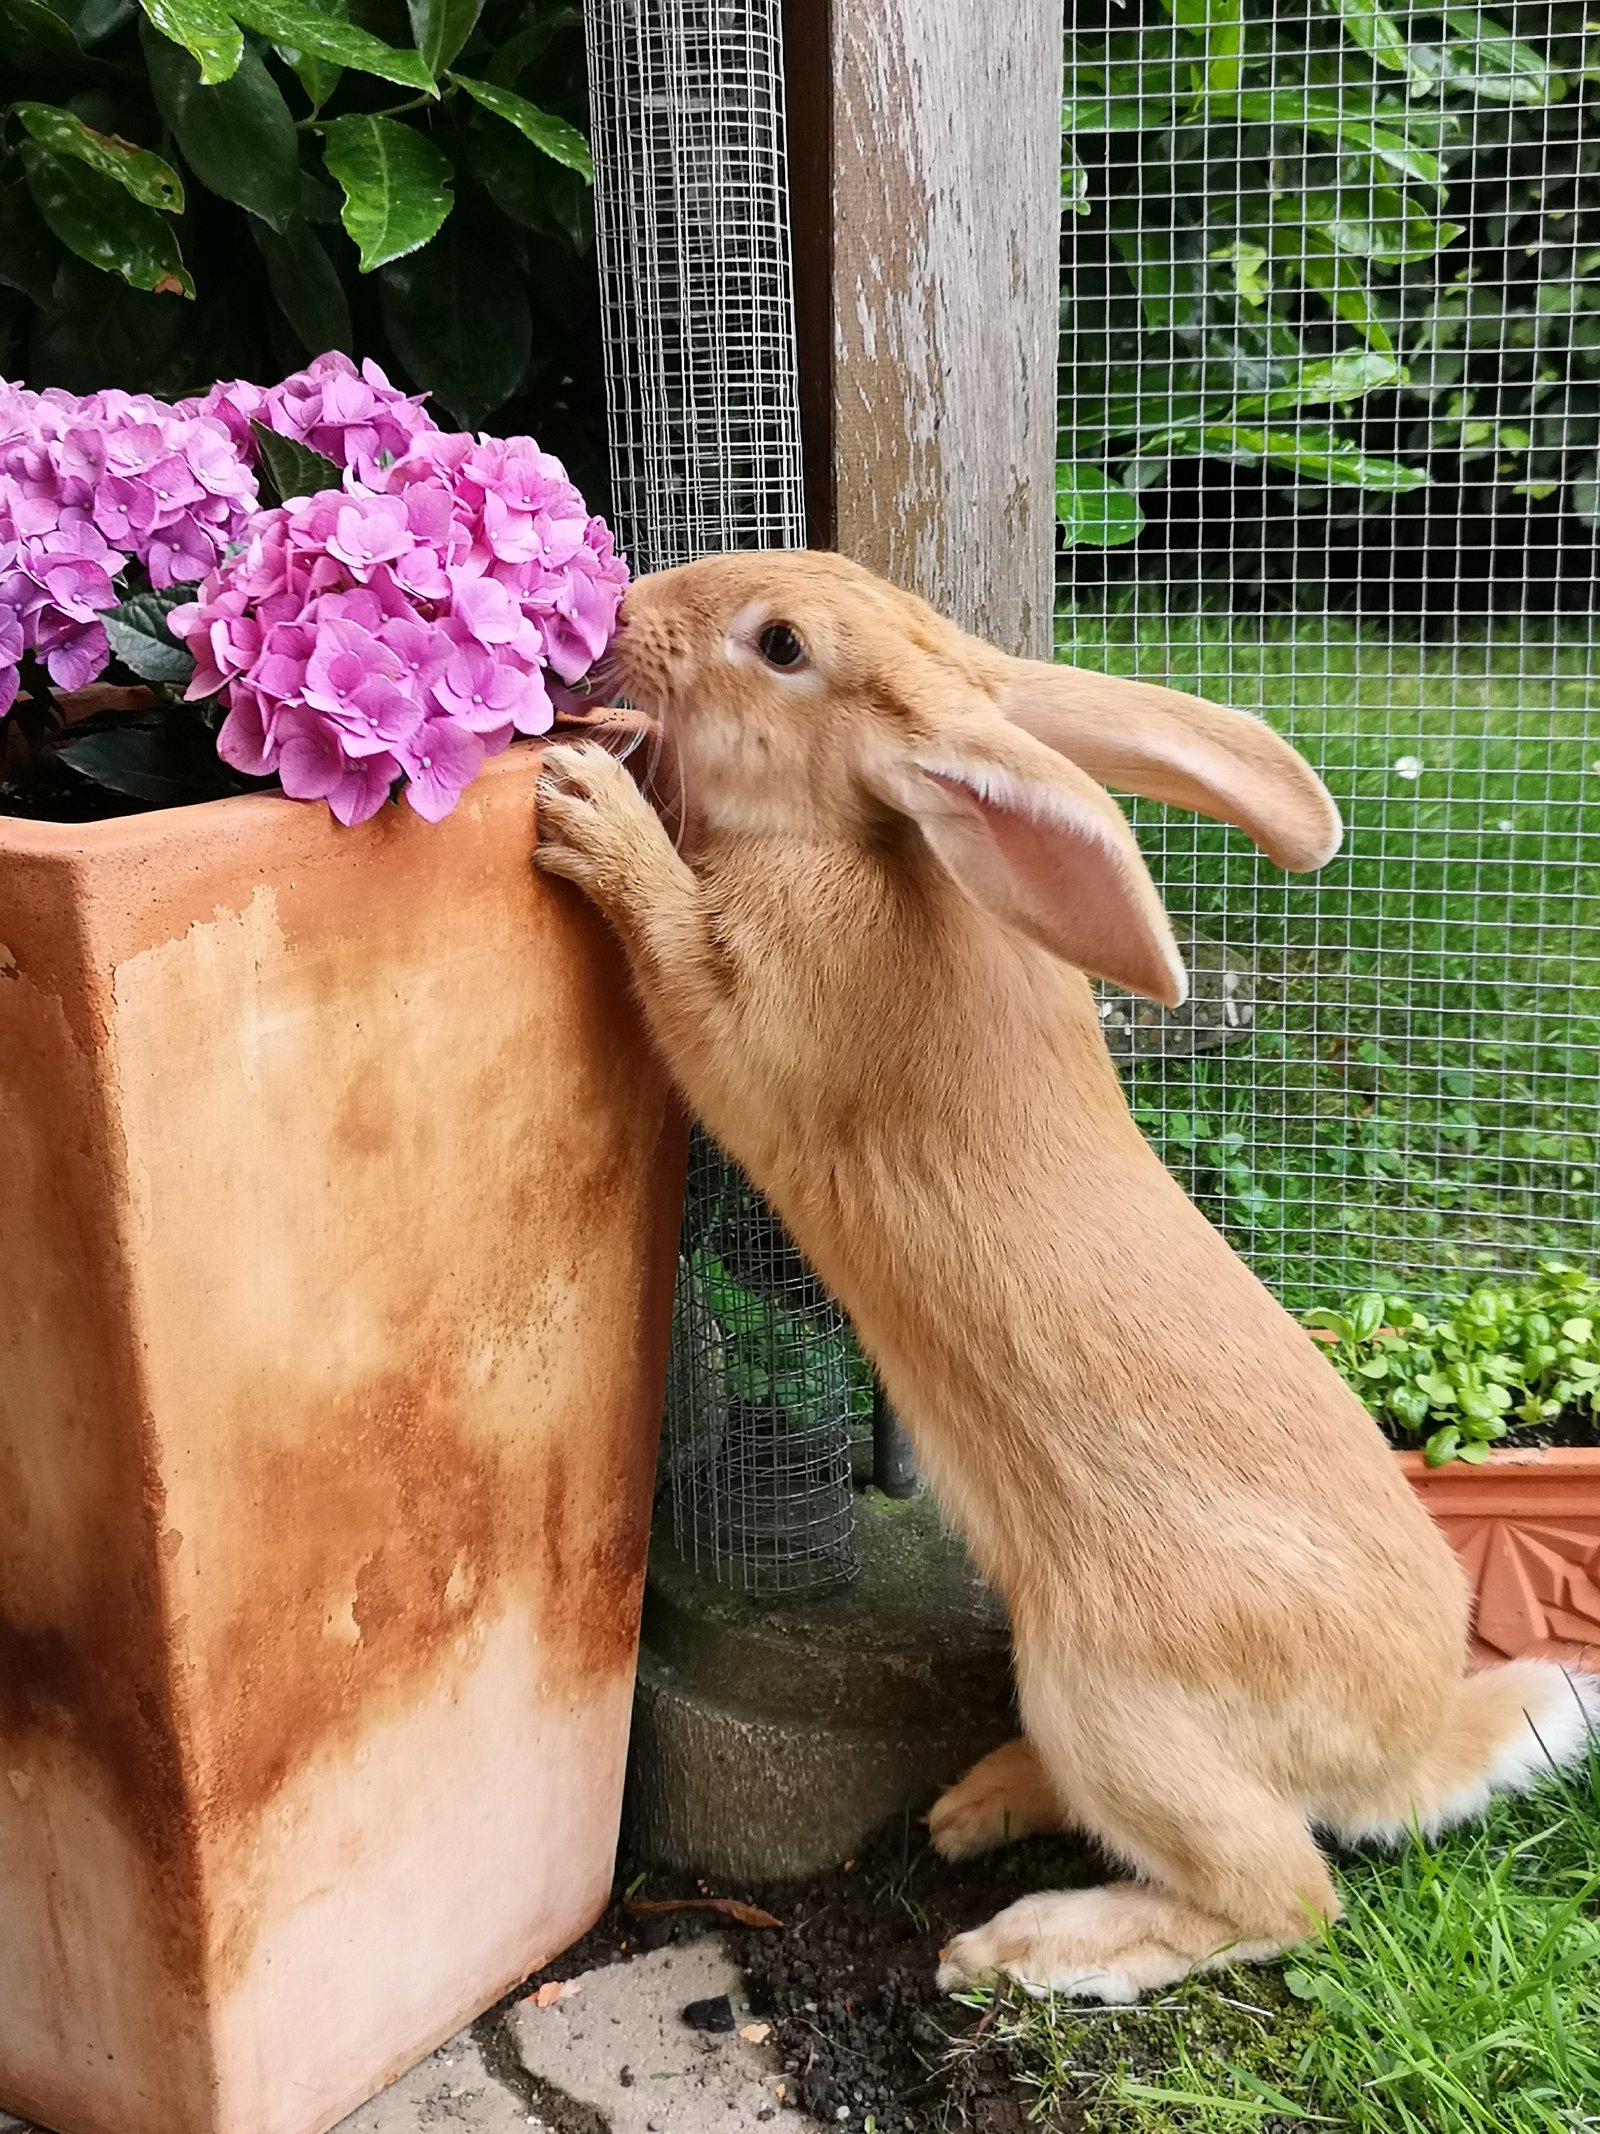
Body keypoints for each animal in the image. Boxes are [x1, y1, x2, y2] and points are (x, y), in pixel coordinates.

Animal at [532, 550, 1597, 2003]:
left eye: (784, 645)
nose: (631, 606)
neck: (863, 841)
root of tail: (1405, 1745)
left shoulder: (751, 1014)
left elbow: (681, 960)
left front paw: (593, 804)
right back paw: (979, 1802)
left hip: (1113, 1697)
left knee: (1285, 1893)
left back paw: (1023, 1945)